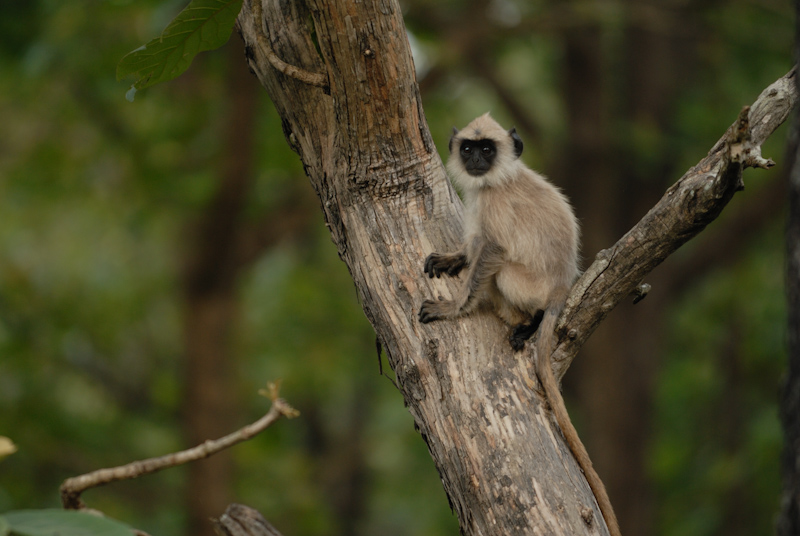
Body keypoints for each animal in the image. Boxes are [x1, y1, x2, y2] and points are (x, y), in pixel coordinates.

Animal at [422, 113, 620, 536]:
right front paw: (453, 258)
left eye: (487, 149)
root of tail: (562, 286)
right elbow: (473, 244)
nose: (475, 160)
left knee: (502, 271)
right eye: (468, 147)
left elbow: (491, 249)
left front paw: (454, 307)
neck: (497, 180)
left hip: (528, 285)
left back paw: (529, 322)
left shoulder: (494, 207)